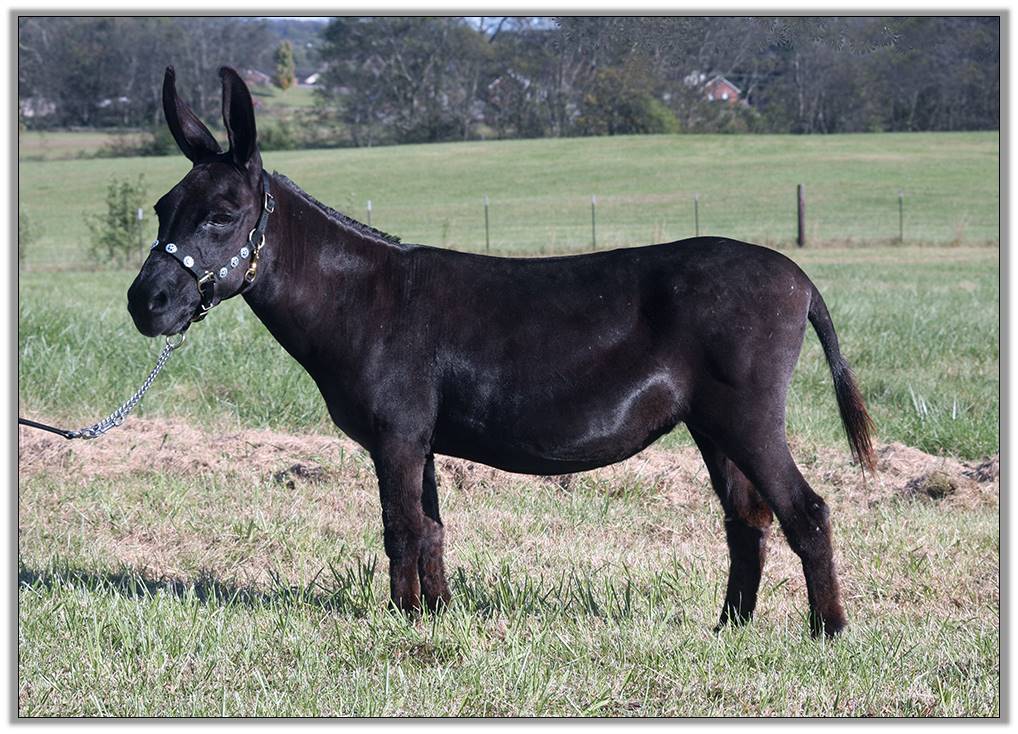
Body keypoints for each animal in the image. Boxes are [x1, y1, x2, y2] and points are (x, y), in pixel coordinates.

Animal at [127, 66, 875, 638]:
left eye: (223, 215)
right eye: (162, 208)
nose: (145, 304)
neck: (360, 297)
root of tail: (798, 277)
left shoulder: (397, 435)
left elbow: (400, 528)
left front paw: (402, 624)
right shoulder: (417, 437)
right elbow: (430, 529)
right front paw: (435, 618)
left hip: (747, 416)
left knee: (806, 511)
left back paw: (828, 634)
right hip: (712, 424)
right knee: (746, 519)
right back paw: (729, 629)